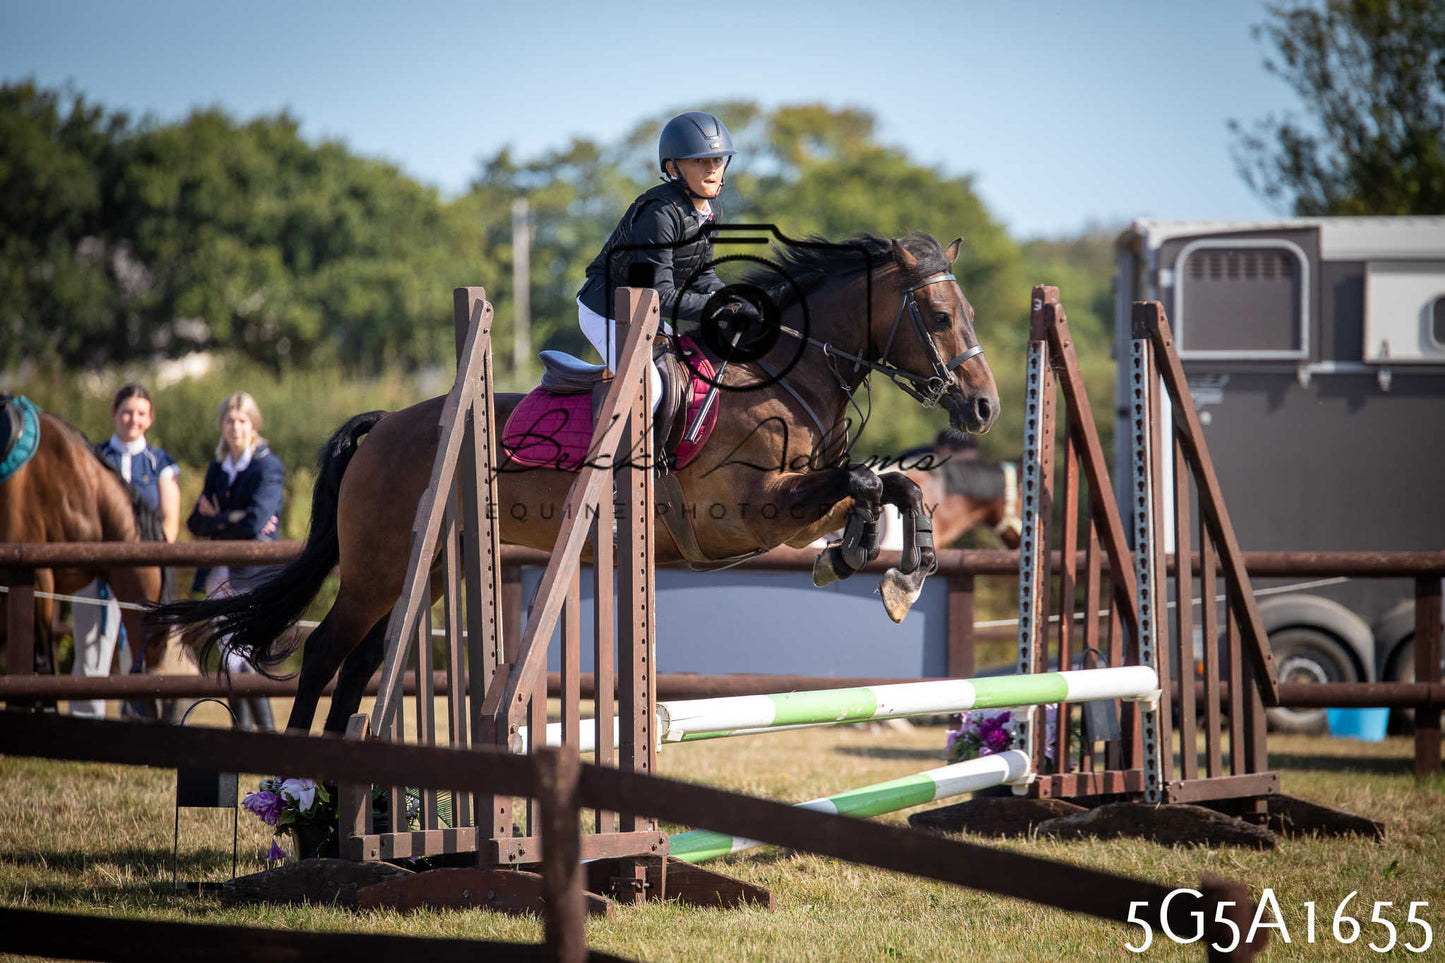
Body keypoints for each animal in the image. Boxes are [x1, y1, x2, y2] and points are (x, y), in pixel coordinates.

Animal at [154, 232, 1000, 735]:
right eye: (936, 314)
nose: (985, 406)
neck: (777, 374)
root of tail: (386, 422)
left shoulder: (794, 504)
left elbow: (888, 485)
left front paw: (890, 568)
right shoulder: (748, 514)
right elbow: (865, 480)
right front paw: (876, 568)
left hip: (418, 571)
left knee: (365, 662)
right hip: (376, 567)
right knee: (327, 651)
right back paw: (303, 795)